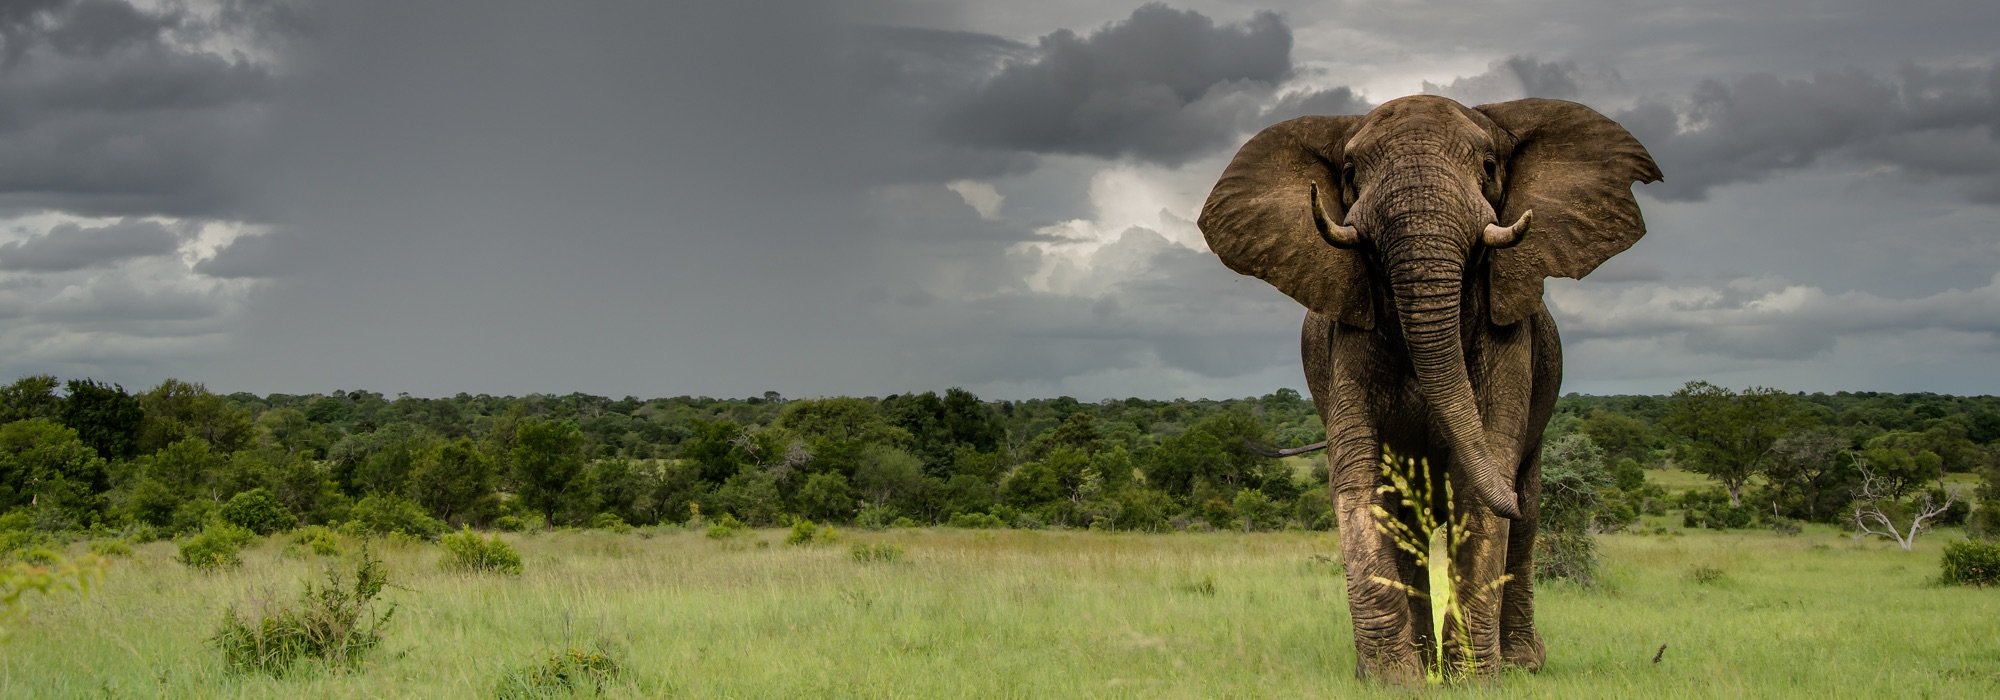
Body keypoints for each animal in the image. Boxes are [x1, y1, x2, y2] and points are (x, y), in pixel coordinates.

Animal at [1192, 95, 1664, 680]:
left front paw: (1475, 681)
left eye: (1489, 166)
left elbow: (1481, 483)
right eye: (1350, 174)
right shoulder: (1347, 341)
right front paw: (1392, 681)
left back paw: (1521, 664)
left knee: (1526, 515)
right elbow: (1363, 482)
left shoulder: (1511, 340)